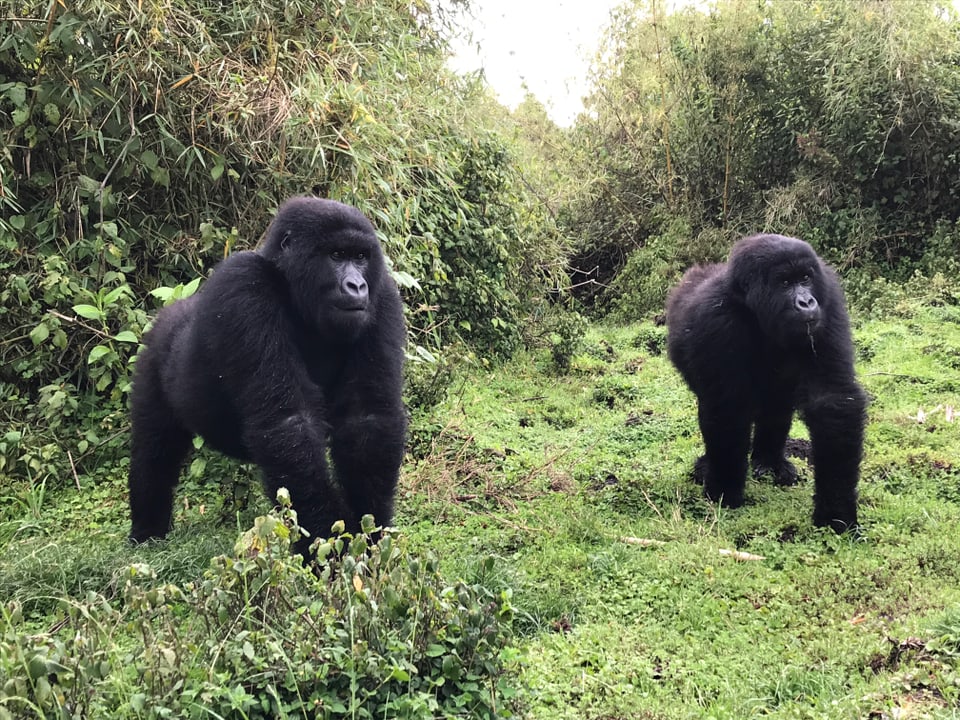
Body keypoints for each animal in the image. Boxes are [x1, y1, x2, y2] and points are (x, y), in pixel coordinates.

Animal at [129, 197, 406, 552]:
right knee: (154, 451)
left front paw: (370, 539)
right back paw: (147, 530)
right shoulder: (244, 284)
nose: (357, 285)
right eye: (336, 255)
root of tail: (172, 310)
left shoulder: (382, 294)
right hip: (151, 355)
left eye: (360, 257)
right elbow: (288, 424)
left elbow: (368, 419)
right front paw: (326, 546)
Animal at [664, 233, 868, 532]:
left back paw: (768, 462)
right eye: (784, 283)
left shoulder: (828, 300)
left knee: (776, 407)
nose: (807, 302)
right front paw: (724, 492)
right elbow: (726, 410)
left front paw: (835, 511)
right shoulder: (716, 319)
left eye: (805, 278)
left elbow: (832, 399)